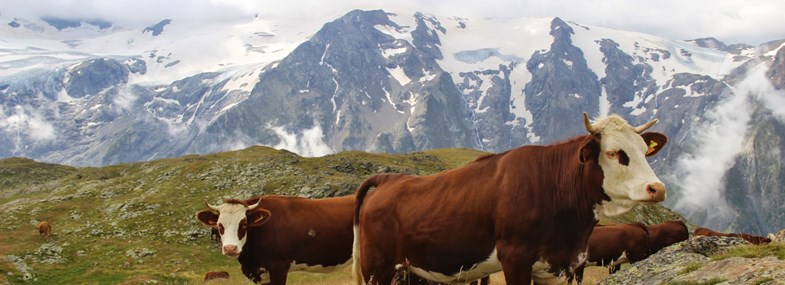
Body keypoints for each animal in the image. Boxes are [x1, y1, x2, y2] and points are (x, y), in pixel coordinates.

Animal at [356, 113, 668, 284]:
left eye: (644, 150)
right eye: (614, 152)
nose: (657, 188)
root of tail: (389, 179)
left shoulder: (558, 267)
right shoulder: (515, 258)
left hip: (406, 269)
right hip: (376, 267)